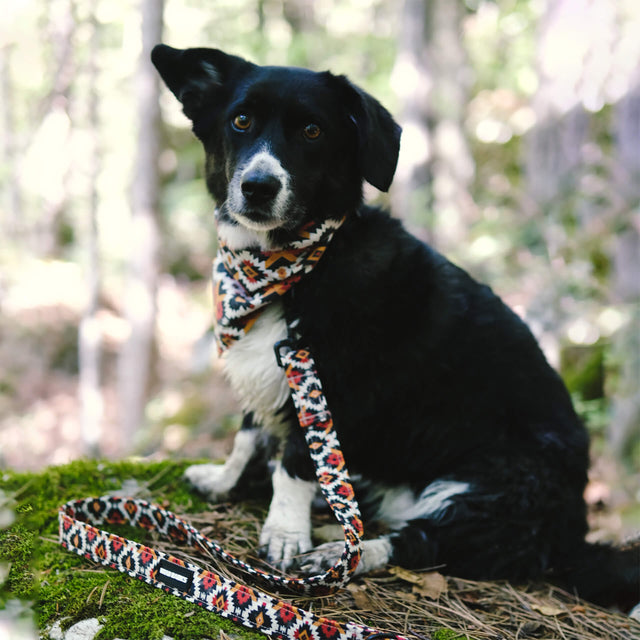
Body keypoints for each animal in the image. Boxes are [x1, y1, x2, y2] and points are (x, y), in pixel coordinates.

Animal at [151, 42, 640, 612]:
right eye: (241, 120)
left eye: (313, 130)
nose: (257, 187)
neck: (292, 267)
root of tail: (574, 535)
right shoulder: (274, 371)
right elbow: (248, 435)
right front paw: (225, 480)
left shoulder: (328, 389)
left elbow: (297, 461)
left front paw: (285, 532)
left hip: (500, 485)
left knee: (422, 542)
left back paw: (336, 551)